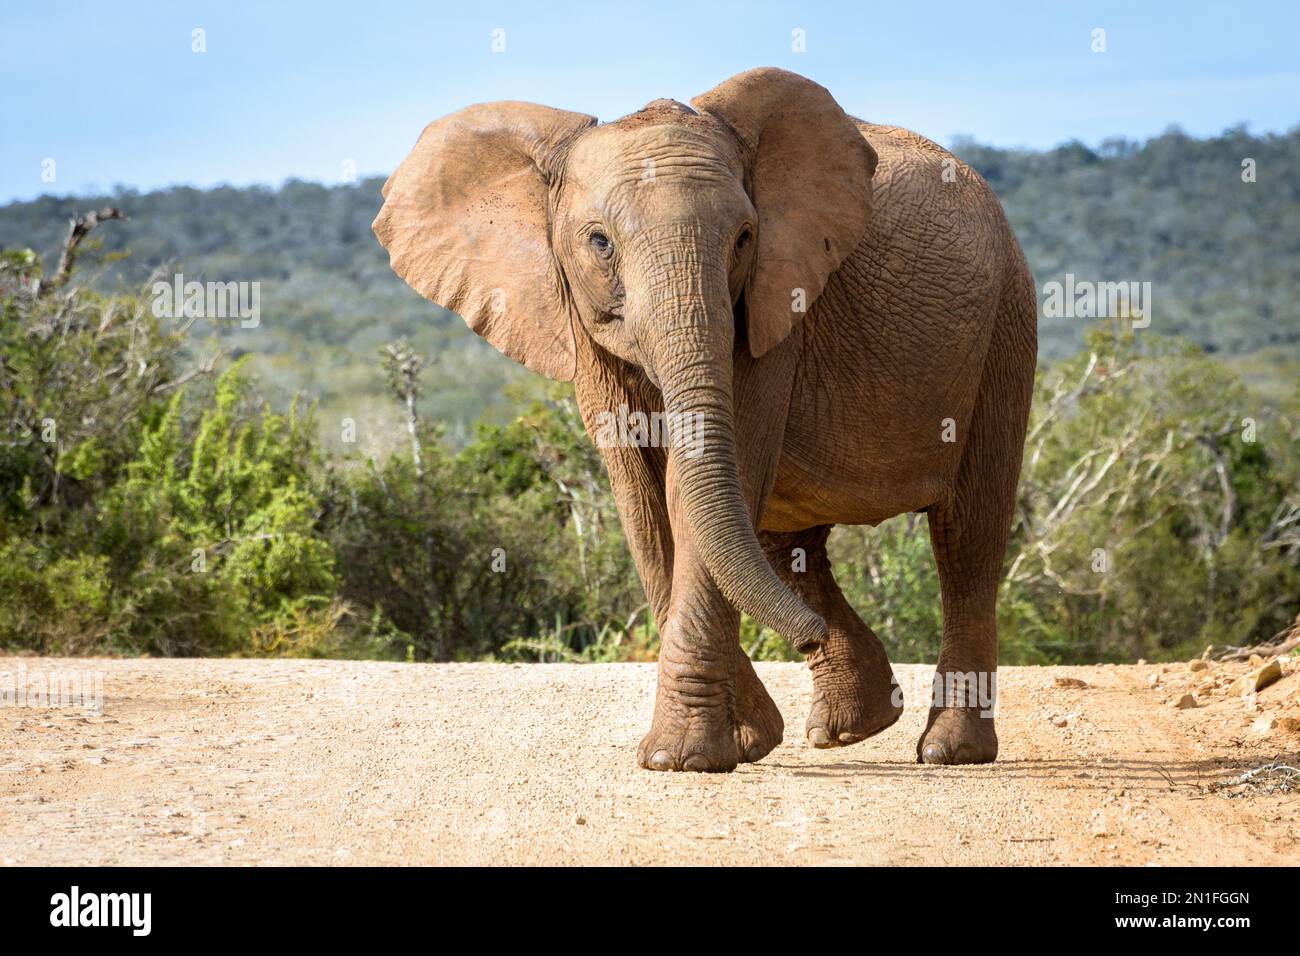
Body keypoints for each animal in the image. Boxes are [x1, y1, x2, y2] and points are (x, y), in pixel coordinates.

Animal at [374, 65, 1034, 770]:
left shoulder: (774, 303)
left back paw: (946, 749)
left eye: (744, 238)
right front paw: (745, 742)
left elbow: (709, 481)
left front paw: (684, 759)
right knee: (787, 544)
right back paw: (850, 728)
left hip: (1006, 323)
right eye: (599, 242)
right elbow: (643, 499)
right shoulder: (582, 320)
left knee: (967, 534)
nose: (803, 640)